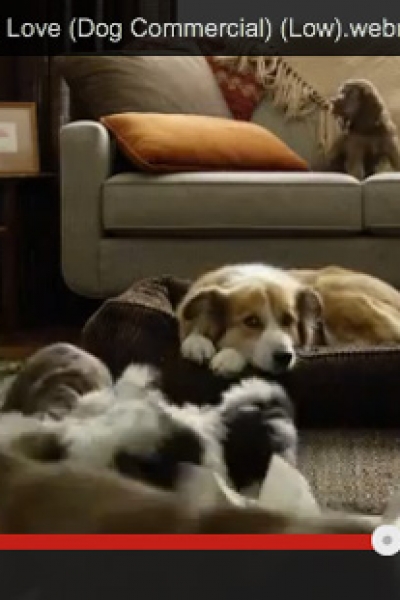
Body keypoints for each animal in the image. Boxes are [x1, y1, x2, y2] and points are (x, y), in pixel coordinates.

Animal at [177, 263, 400, 377]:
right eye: (251, 321)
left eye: (288, 320)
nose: (284, 357)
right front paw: (197, 343)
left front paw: (229, 357)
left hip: (330, 290)